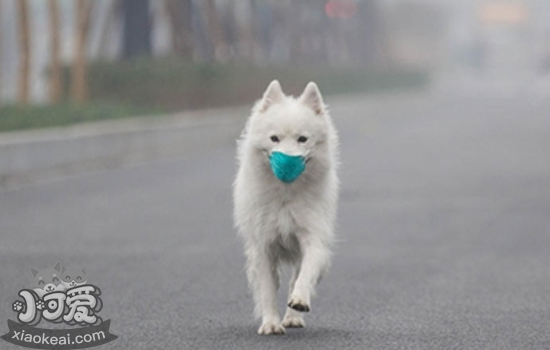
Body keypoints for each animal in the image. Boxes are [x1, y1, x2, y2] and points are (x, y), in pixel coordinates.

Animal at [234, 80, 340, 334]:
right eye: (274, 138)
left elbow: (305, 274)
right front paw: (271, 324)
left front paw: (299, 301)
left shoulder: (313, 238)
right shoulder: (263, 247)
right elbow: (267, 289)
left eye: (303, 139)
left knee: (296, 278)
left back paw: (293, 317)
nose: (287, 163)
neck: (285, 195)